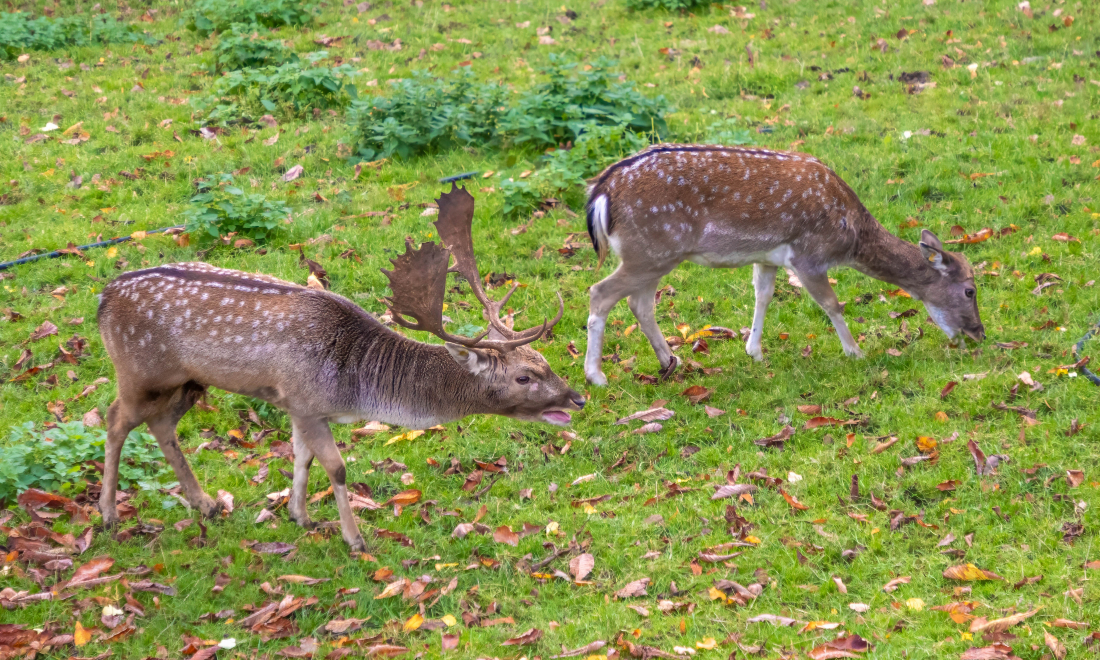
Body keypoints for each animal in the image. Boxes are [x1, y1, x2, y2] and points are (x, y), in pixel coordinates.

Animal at [96, 185, 585, 552]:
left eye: (545, 361)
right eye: (524, 377)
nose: (577, 397)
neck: (356, 386)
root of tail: (102, 299)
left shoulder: (297, 406)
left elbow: (301, 457)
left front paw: (300, 516)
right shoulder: (306, 400)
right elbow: (336, 468)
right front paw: (355, 539)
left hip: (189, 382)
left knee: (161, 424)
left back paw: (207, 505)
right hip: (138, 371)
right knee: (116, 419)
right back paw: (107, 515)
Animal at [582, 144, 985, 385]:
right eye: (970, 290)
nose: (979, 333)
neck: (851, 235)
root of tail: (601, 193)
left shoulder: (767, 257)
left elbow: (763, 296)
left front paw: (755, 352)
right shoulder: (808, 256)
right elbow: (832, 304)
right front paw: (855, 352)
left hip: (653, 255)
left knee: (639, 303)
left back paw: (671, 361)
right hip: (650, 250)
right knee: (600, 293)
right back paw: (596, 376)